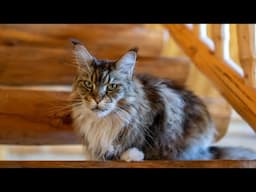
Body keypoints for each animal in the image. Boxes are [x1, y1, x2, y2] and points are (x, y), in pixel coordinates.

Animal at [69, 38, 256, 160]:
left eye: (111, 86)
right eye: (88, 84)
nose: (97, 99)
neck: (104, 121)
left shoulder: (160, 111)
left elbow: (147, 143)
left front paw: (131, 154)